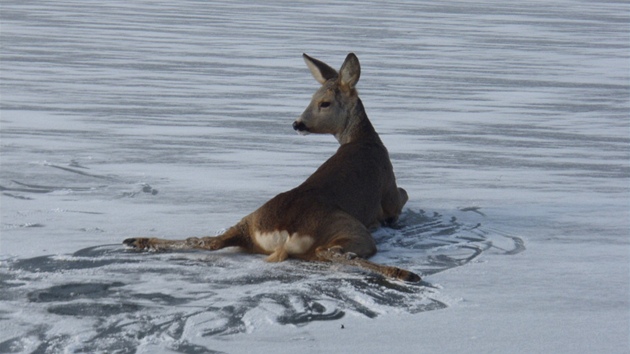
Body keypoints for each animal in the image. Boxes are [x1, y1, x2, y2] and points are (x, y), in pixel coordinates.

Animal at [123, 53, 420, 282]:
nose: (298, 123)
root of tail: (286, 233)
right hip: (349, 226)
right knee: (331, 252)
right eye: (313, 99)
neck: (364, 140)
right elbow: (404, 195)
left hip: (251, 220)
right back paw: (404, 273)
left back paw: (138, 240)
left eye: (323, 102)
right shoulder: (389, 194)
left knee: (208, 240)